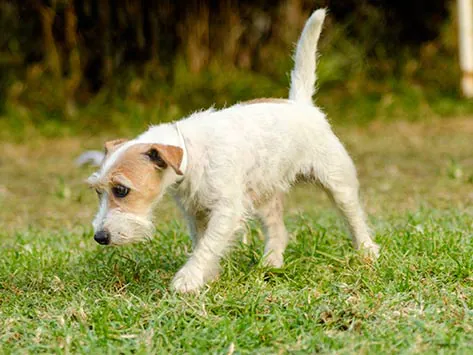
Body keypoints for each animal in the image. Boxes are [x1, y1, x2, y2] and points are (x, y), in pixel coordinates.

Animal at [85, 10, 380, 294]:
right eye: (98, 191)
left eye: (121, 190)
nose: (100, 237)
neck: (190, 153)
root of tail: (301, 104)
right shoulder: (196, 214)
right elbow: (202, 243)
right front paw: (207, 276)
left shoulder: (226, 210)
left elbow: (207, 246)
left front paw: (188, 279)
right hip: (263, 197)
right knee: (278, 230)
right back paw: (271, 261)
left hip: (337, 182)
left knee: (354, 217)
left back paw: (367, 251)